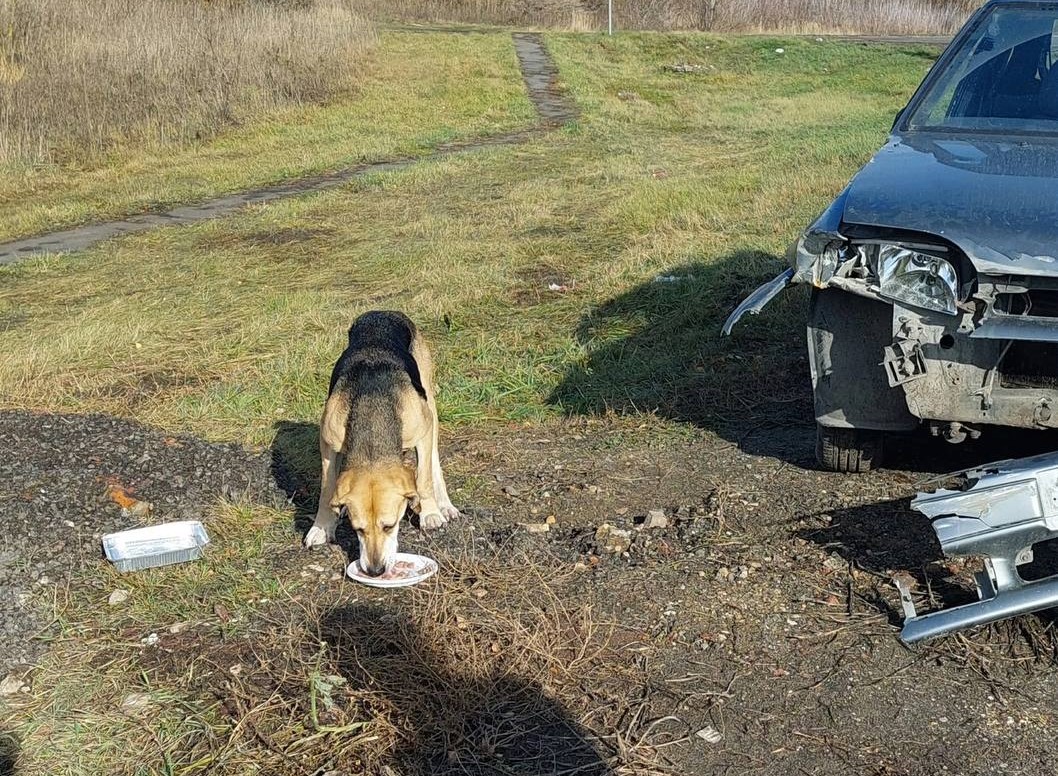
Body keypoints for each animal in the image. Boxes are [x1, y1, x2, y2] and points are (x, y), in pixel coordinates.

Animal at [302, 311, 459, 575]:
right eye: (358, 529)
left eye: (390, 526)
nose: (375, 571)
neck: (372, 409)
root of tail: (384, 312)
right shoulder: (327, 443)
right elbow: (327, 487)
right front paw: (322, 526)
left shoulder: (423, 431)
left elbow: (424, 479)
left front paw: (430, 513)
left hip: (430, 406)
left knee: (433, 464)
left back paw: (443, 505)